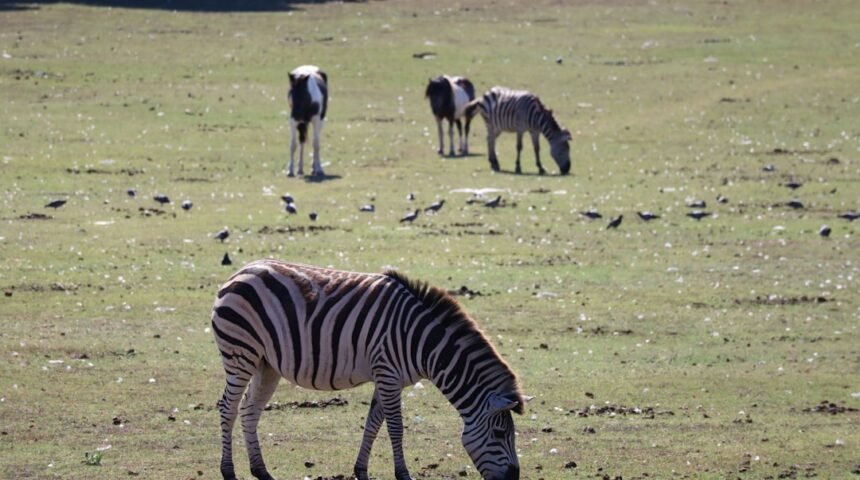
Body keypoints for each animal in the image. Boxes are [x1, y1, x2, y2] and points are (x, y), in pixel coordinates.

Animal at [211, 259, 525, 480]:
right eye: (500, 434)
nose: (514, 477)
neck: (422, 341)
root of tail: (240, 271)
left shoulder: (388, 377)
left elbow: (373, 424)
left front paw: (361, 470)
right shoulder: (387, 372)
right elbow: (395, 427)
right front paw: (403, 474)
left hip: (266, 363)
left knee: (250, 410)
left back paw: (261, 471)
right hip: (240, 352)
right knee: (228, 407)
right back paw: (228, 471)